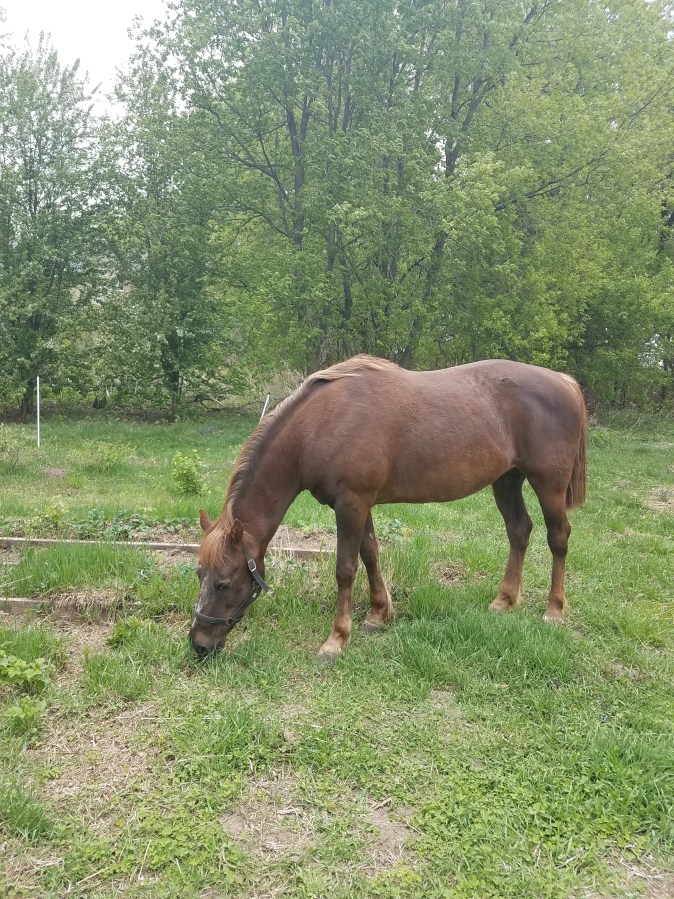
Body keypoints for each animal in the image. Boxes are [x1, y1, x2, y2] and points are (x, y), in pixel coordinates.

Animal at [190, 355, 587, 661]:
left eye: (224, 583)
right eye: (198, 574)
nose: (199, 644)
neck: (321, 423)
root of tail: (564, 381)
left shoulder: (351, 503)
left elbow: (345, 569)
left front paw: (336, 640)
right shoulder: (359, 504)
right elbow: (370, 554)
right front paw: (379, 615)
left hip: (548, 486)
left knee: (558, 537)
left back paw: (553, 610)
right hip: (506, 481)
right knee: (519, 531)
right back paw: (504, 601)